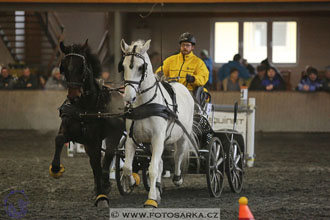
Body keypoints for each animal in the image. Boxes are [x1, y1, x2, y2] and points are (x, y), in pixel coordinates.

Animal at [49, 39, 125, 206]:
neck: (84, 107)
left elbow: (97, 164)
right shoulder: (72, 131)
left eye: (81, 67)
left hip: (114, 135)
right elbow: (59, 139)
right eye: (64, 67)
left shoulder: (93, 139)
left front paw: (101, 196)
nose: (73, 96)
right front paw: (56, 169)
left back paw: (104, 182)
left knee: (108, 155)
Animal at [120, 39, 193, 208]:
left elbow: (152, 169)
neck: (145, 104)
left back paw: (177, 178)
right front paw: (131, 182)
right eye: (123, 66)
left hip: (182, 137)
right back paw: (158, 186)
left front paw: (151, 198)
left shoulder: (158, 138)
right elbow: (127, 167)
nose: (128, 97)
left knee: (178, 155)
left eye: (141, 67)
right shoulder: (131, 139)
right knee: (159, 162)